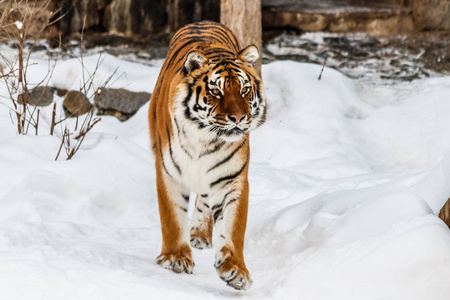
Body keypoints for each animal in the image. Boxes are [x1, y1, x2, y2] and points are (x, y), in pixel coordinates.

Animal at [148, 19, 268, 290]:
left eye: (245, 90)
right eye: (216, 92)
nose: (238, 118)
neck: (204, 137)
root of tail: (203, 21)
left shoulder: (232, 179)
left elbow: (233, 228)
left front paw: (235, 269)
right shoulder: (169, 173)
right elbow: (172, 218)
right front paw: (176, 258)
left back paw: (200, 235)